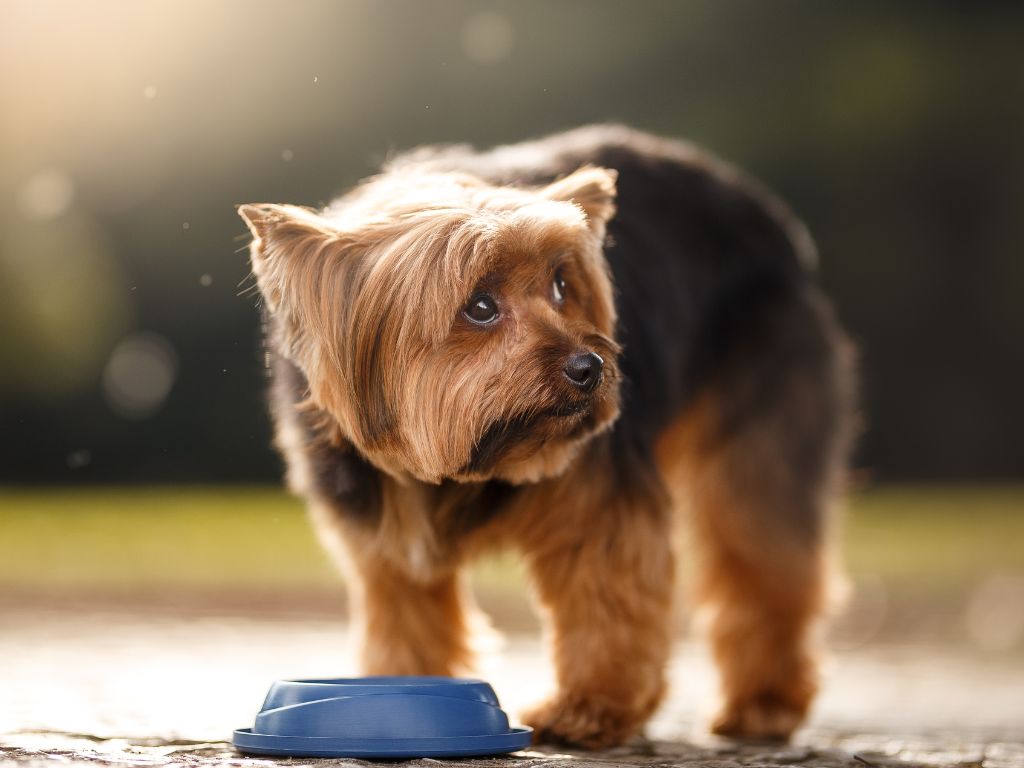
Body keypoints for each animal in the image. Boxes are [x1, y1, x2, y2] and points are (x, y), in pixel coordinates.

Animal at [237, 128, 856, 753]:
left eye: (561, 285)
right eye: (480, 306)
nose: (590, 367)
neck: (475, 463)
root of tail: (769, 216)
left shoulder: (596, 502)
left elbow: (606, 599)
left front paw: (587, 709)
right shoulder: (384, 534)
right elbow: (405, 619)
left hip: (759, 435)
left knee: (763, 560)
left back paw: (765, 706)